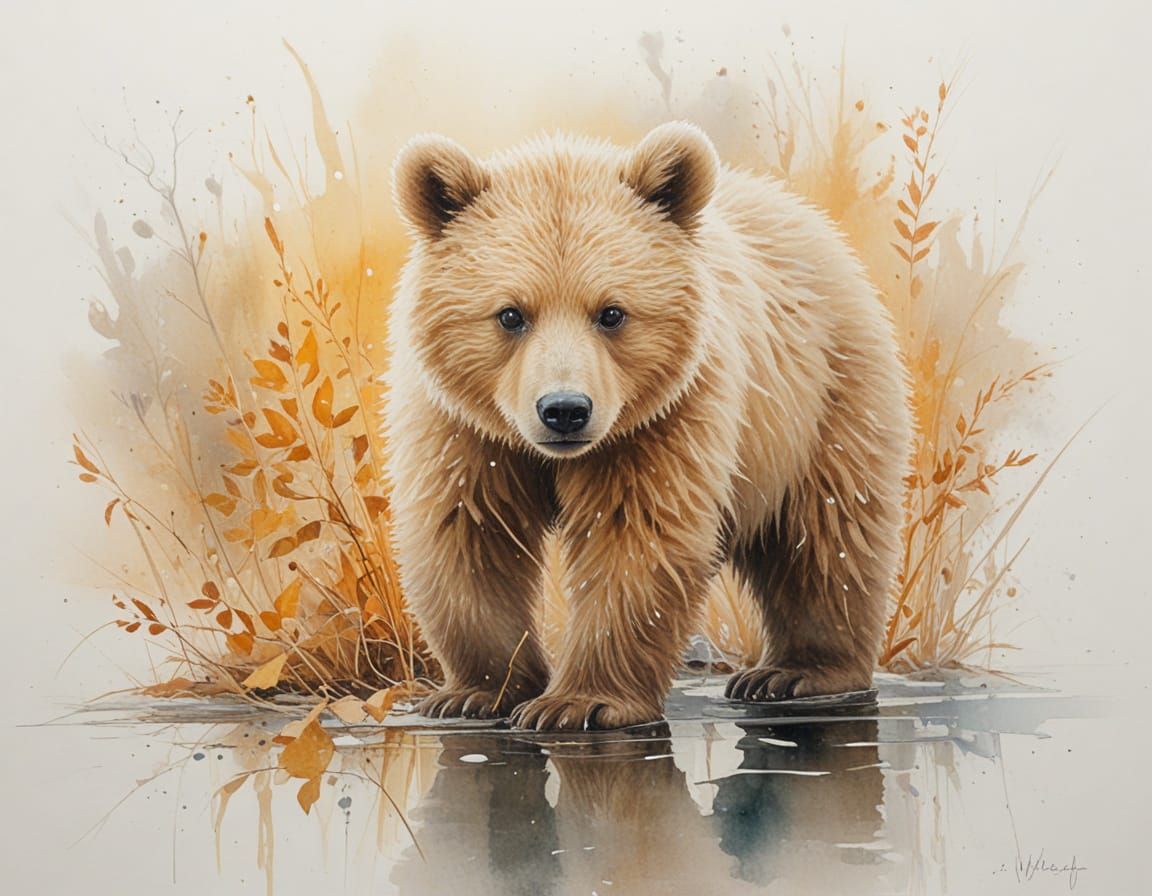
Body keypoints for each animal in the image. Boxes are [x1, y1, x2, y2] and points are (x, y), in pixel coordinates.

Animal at [384, 121, 911, 731]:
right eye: (510, 314)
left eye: (612, 312)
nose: (564, 410)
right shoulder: (460, 426)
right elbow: (467, 534)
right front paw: (477, 691)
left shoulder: (666, 417)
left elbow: (637, 537)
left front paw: (578, 701)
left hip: (822, 399)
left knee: (825, 533)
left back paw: (797, 672)